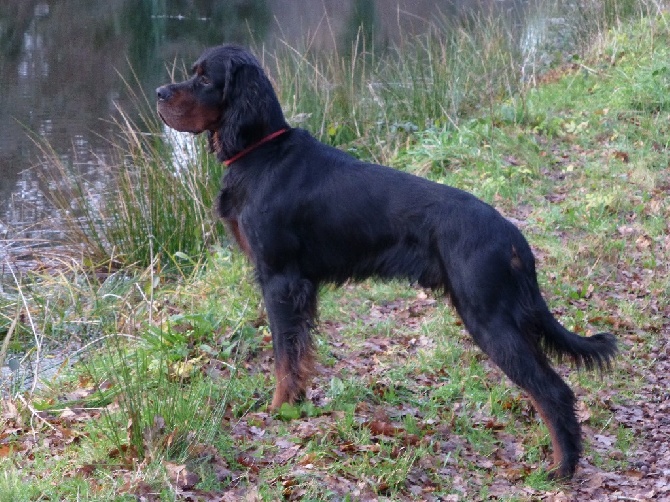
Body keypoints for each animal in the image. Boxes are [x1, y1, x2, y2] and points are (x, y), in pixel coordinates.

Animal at [155, 45, 616, 480]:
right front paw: (297, 405)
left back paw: (562, 467)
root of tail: (510, 234)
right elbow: (299, 354)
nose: (159, 92)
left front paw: (279, 410)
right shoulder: (299, 286)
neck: (261, 151)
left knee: (551, 390)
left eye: (204, 78)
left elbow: (285, 356)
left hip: (489, 317)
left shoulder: (280, 280)